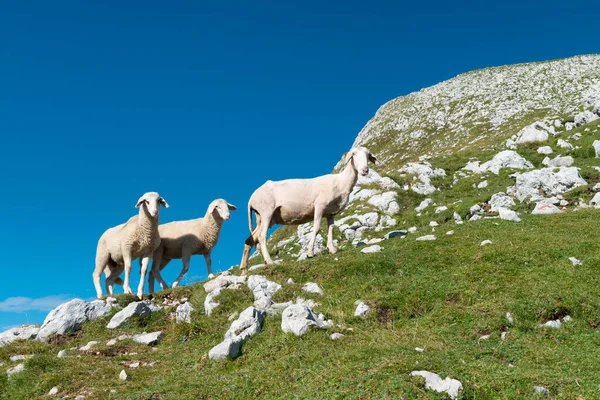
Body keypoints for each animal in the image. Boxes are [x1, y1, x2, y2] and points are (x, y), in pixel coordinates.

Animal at [238, 145, 376, 274]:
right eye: (354, 154)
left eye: (368, 155)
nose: (365, 170)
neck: (341, 182)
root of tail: (252, 198)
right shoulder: (319, 205)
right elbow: (316, 228)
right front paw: (310, 252)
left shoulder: (331, 212)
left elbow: (330, 229)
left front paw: (332, 249)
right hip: (266, 211)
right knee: (261, 237)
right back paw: (269, 261)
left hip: (262, 217)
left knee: (250, 239)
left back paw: (244, 268)